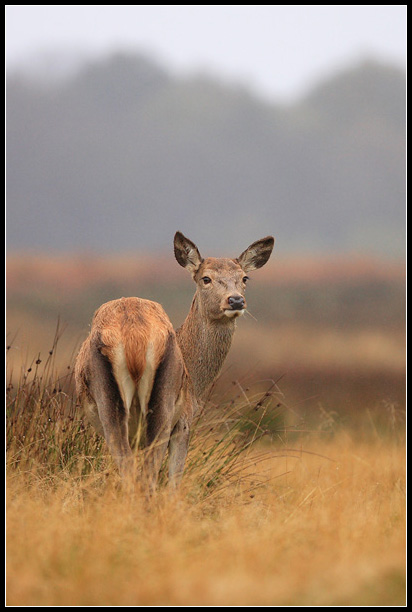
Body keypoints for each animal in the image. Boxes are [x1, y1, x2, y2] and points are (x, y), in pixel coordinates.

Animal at [74, 231, 274, 492]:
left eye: (244, 278)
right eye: (206, 278)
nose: (236, 300)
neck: (196, 383)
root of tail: (134, 338)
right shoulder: (184, 421)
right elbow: (174, 480)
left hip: (113, 405)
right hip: (163, 401)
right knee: (149, 475)